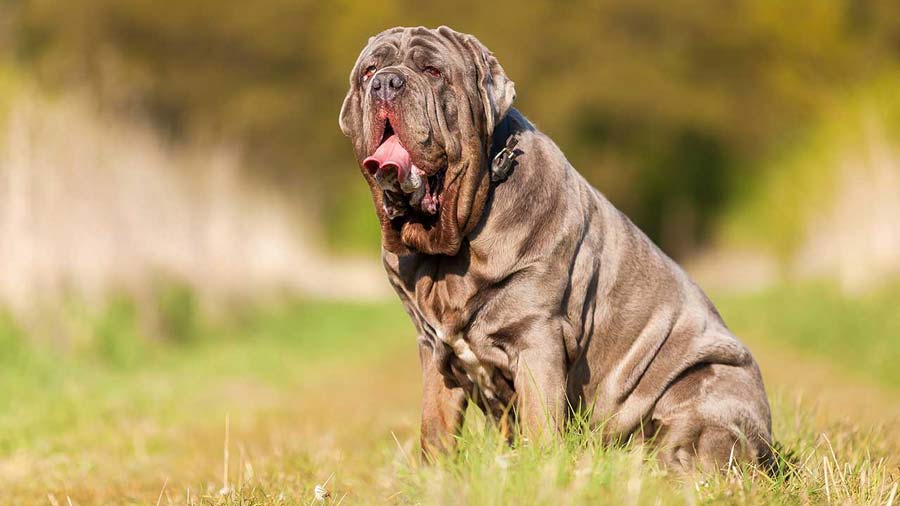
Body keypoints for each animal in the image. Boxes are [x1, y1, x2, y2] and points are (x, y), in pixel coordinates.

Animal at [340, 26, 772, 470]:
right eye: (369, 71)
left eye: (432, 70)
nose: (386, 83)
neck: (450, 248)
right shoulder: (434, 350)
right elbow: (436, 427)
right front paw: (436, 475)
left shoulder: (537, 338)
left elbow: (539, 420)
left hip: (707, 387)